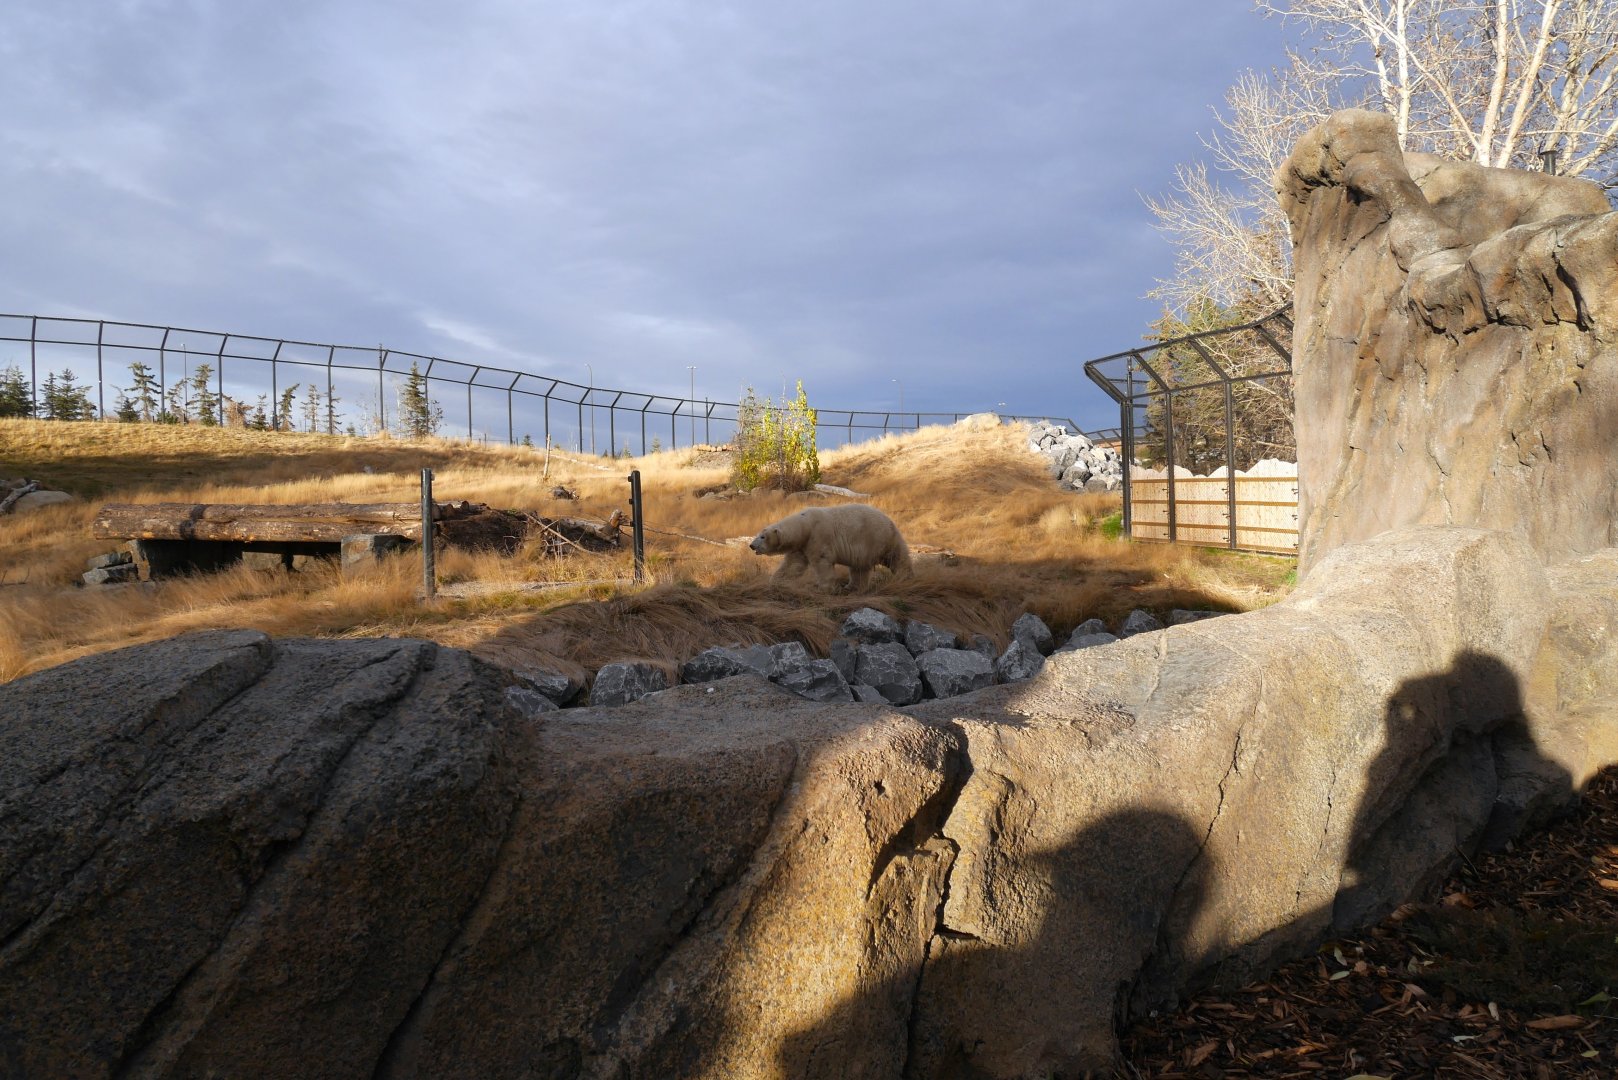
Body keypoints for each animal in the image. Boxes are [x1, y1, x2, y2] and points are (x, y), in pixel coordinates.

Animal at [749, 504, 912, 591]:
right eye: (758, 534)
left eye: (762, 537)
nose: (751, 545)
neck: (805, 525)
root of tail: (890, 520)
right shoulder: (801, 546)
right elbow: (792, 565)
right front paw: (775, 582)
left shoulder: (818, 536)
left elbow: (821, 562)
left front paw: (825, 588)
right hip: (866, 548)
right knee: (859, 568)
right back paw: (852, 587)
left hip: (880, 538)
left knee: (897, 558)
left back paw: (904, 577)